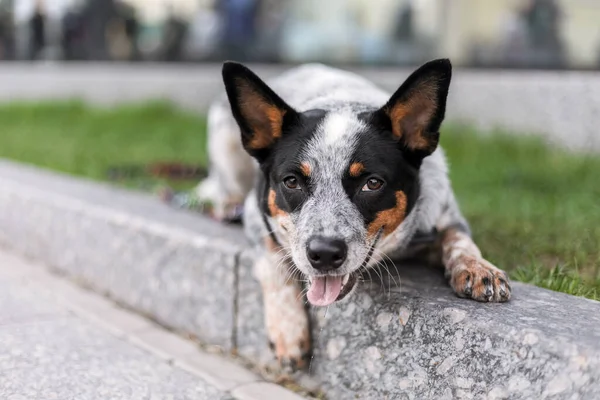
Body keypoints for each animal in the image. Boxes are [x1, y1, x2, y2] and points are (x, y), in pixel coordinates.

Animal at [198, 59, 510, 368]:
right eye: (291, 181)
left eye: (372, 183)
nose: (324, 254)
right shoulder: (256, 213)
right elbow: (275, 263)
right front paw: (289, 329)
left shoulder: (444, 212)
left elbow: (459, 239)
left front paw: (479, 268)